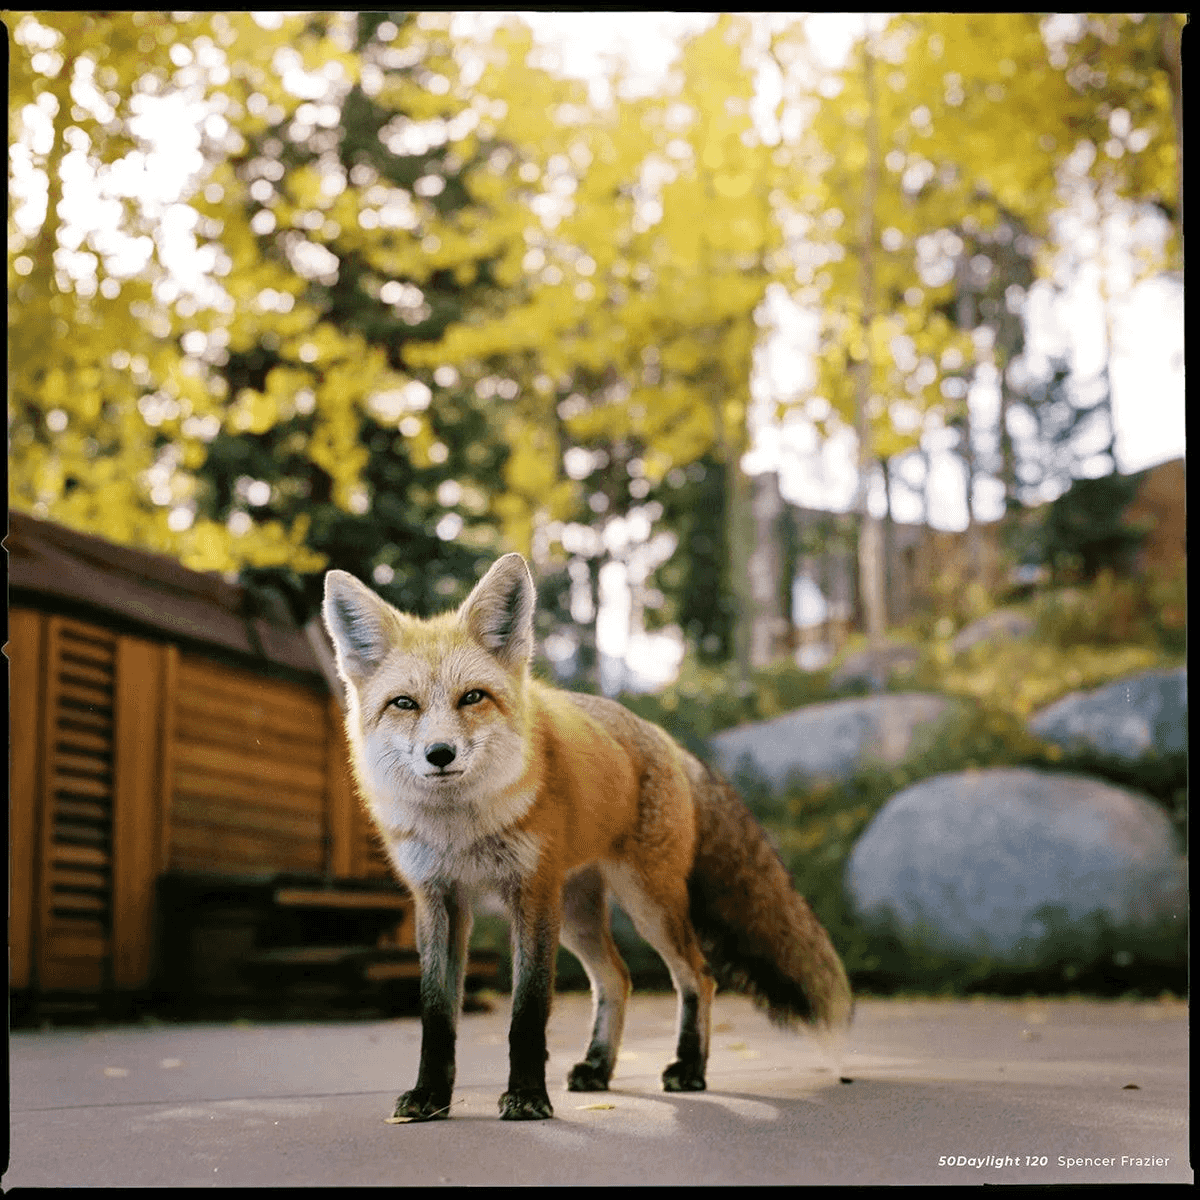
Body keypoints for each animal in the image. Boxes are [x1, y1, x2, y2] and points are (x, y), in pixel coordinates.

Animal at [322, 553, 852, 1122]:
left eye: (473, 698)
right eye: (404, 704)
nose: (440, 754)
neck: (461, 829)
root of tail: (662, 735)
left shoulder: (531, 893)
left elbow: (527, 1014)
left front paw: (527, 1095)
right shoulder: (439, 899)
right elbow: (437, 1017)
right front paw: (430, 1098)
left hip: (647, 904)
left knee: (698, 977)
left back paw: (689, 1068)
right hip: (577, 917)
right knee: (617, 978)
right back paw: (599, 1067)